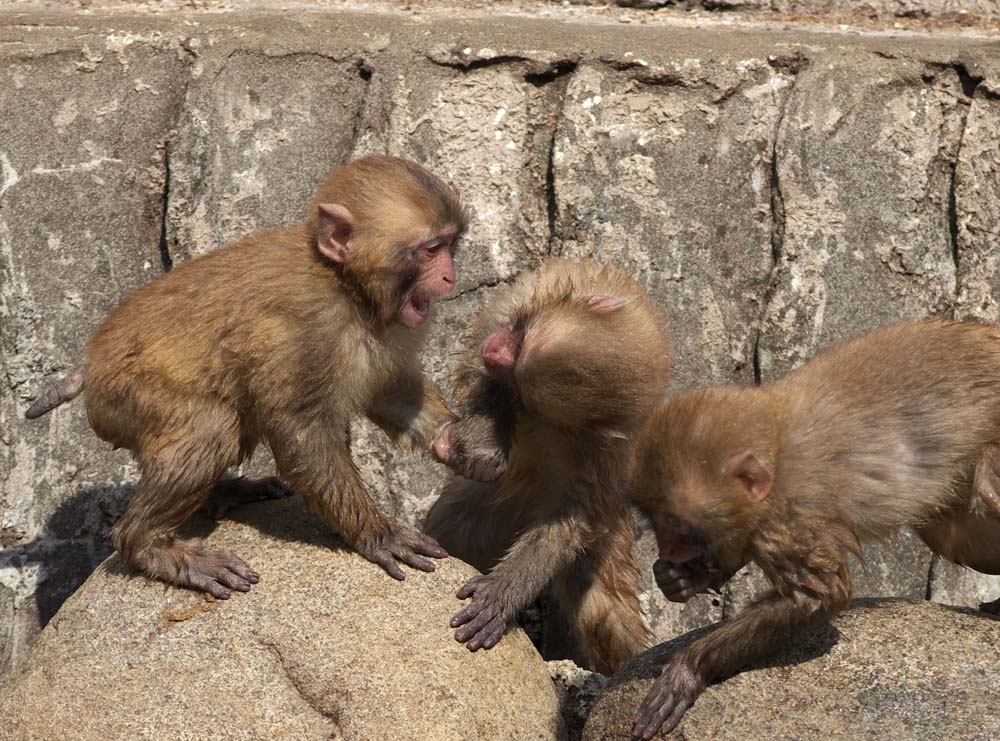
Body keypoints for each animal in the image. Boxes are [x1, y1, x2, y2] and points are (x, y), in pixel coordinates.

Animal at [424, 258, 672, 672]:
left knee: (603, 612)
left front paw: (504, 594)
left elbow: (568, 522)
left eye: (518, 365)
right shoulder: (526, 296)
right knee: (456, 525)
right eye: (518, 335)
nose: (495, 352)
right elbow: (480, 367)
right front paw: (481, 443)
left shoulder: (614, 450)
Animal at [628, 316, 1000, 736]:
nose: (668, 548)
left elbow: (818, 595)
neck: (775, 453)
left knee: (989, 493)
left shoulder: (789, 519)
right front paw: (683, 579)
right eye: (656, 521)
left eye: (676, 522)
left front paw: (688, 668)